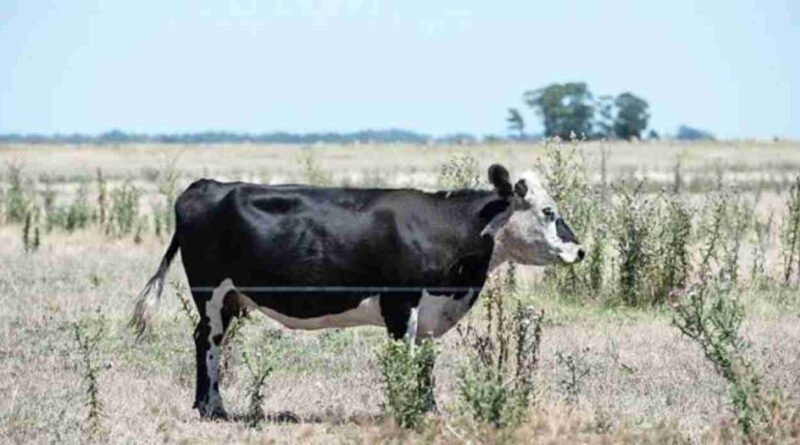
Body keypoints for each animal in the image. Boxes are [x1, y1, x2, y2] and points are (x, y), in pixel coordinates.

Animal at [130, 162, 580, 416]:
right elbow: (404, 359)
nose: (581, 249)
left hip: (229, 297)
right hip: (210, 291)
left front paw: (428, 409)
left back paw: (205, 405)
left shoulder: (430, 312)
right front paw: (404, 407)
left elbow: (426, 364)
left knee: (204, 338)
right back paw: (214, 408)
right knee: (208, 340)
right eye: (548, 211)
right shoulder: (400, 304)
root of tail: (205, 185)